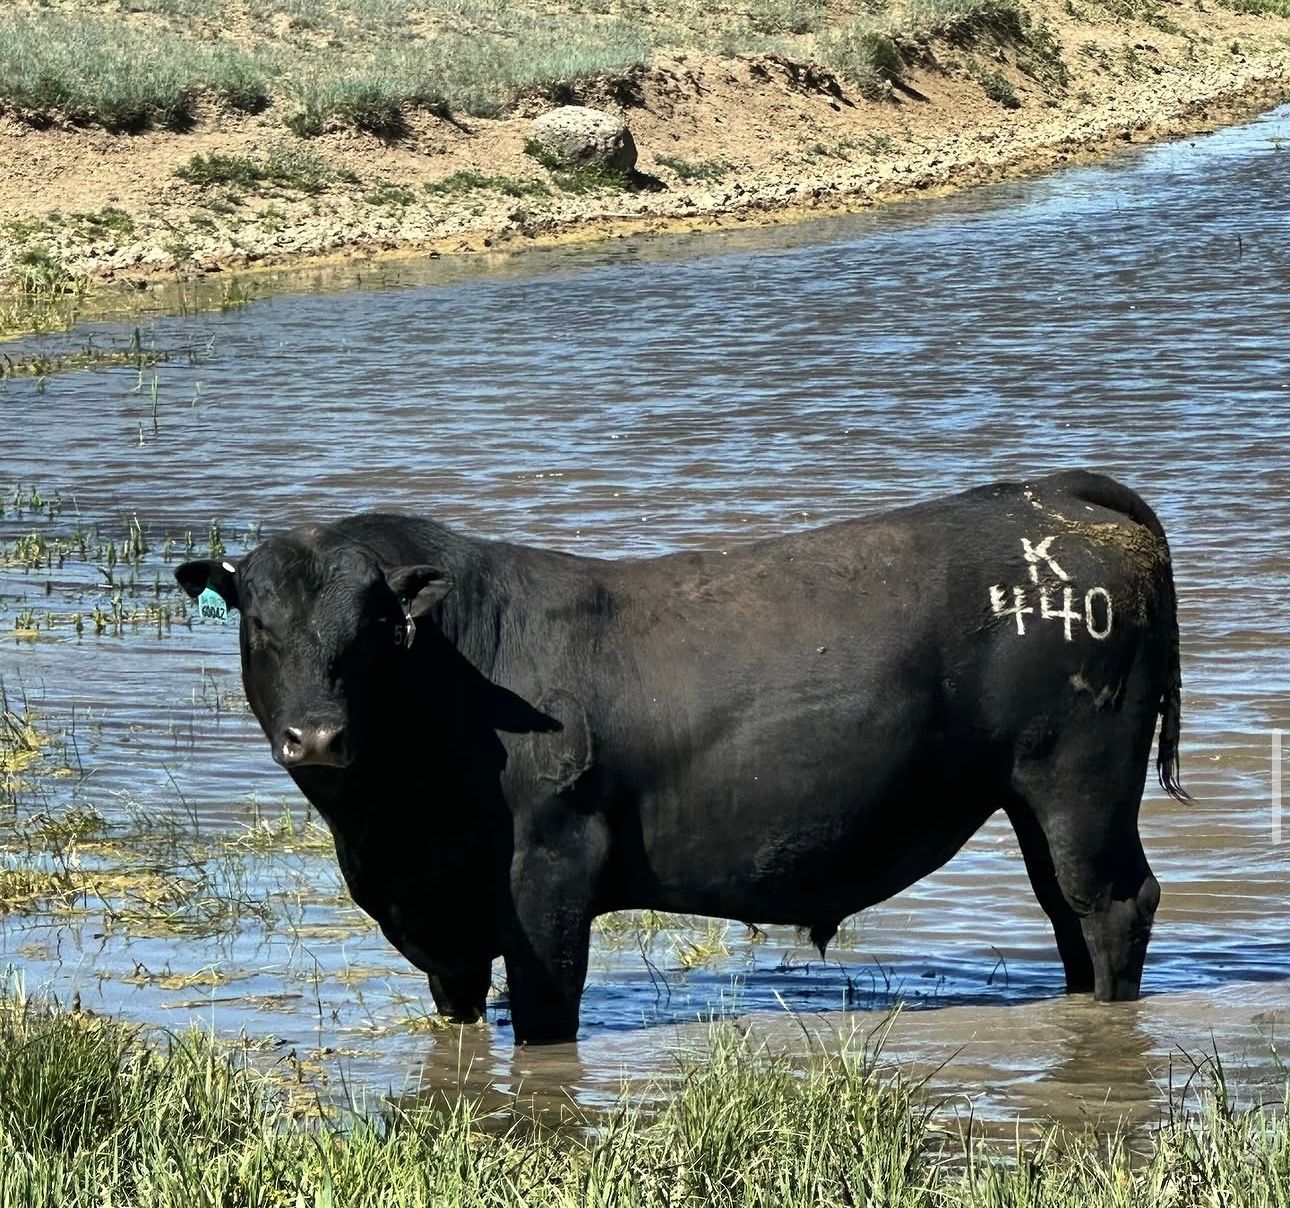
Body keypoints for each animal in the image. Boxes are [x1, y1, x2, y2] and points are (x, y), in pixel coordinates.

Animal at [175, 470, 1188, 1044]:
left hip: (1079, 781)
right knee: (1067, 911)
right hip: (1036, 797)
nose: (317, 737)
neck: (390, 830)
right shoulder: (441, 921)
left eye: (377, 628)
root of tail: (1058, 497)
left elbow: (544, 1017)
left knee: (1112, 905)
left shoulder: (549, 876)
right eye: (258, 624)